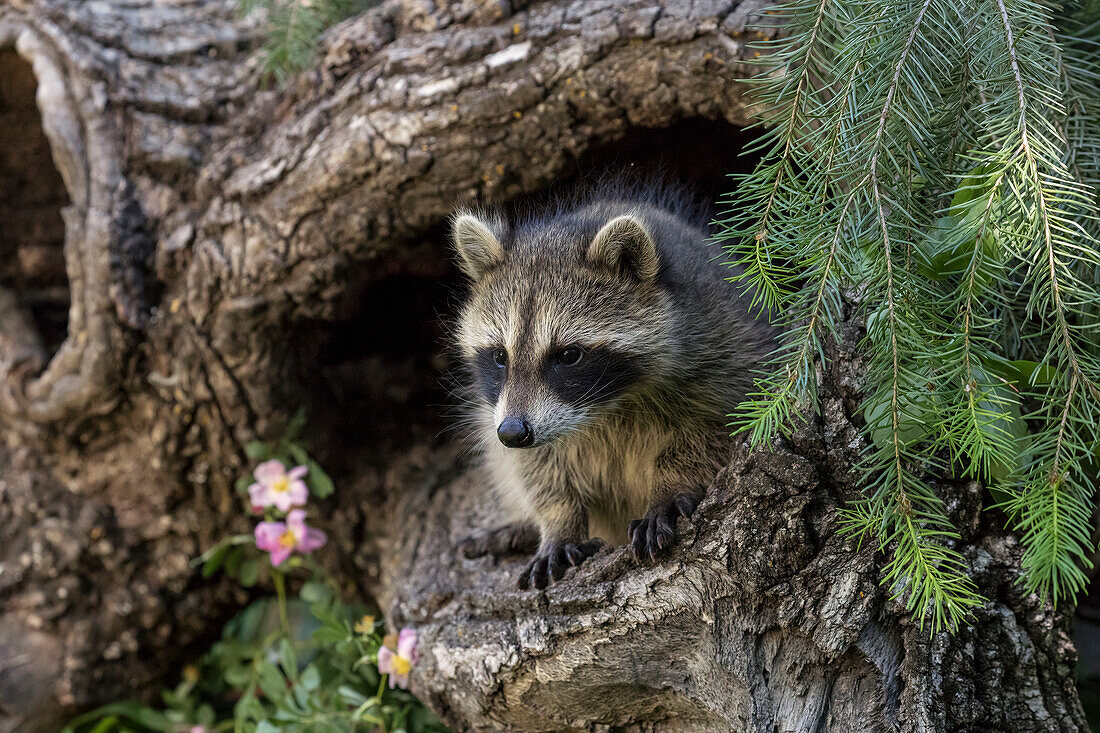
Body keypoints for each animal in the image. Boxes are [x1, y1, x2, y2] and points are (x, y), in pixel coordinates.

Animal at [451, 183, 778, 589]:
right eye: (500, 356)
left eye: (568, 355)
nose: (513, 433)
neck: (606, 408)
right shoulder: (508, 412)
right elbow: (537, 468)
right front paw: (558, 521)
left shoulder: (725, 350)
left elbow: (710, 432)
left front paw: (670, 487)